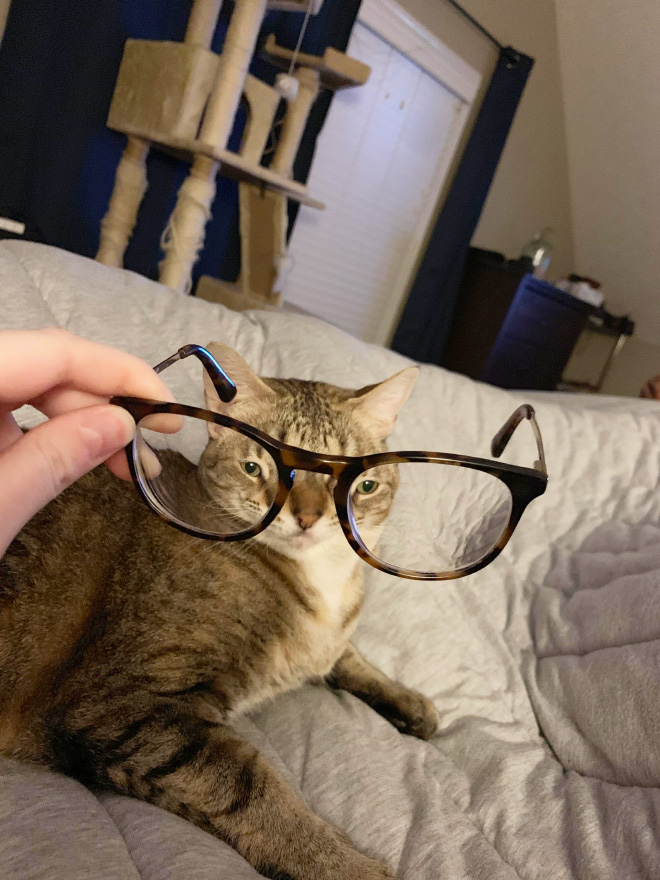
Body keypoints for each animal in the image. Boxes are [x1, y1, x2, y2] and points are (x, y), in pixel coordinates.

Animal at [0, 342, 440, 880]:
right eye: (257, 468)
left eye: (363, 485)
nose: (309, 517)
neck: (320, 580)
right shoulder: (126, 705)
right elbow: (254, 791)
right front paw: (344, 863)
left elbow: (347, 655)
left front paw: (406, 699)